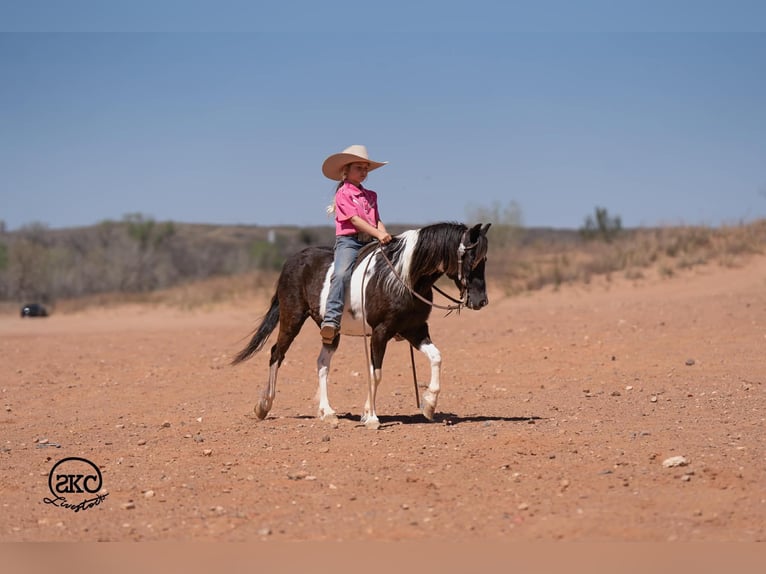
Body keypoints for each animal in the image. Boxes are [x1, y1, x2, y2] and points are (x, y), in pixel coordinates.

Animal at [232, 221, 491, 429]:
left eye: (485, 259)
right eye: (471, 258)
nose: (481, 301)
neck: (402, 277)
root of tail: (293, 260)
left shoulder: (415, 330)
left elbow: (436, 357)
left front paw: (428, 405)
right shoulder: (380, 332)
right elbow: (375, 373)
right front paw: (372, 417)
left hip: (330, 331)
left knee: (322, 364)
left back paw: (328, 412)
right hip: (291, 318)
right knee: (277, 354)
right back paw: (264, 406)